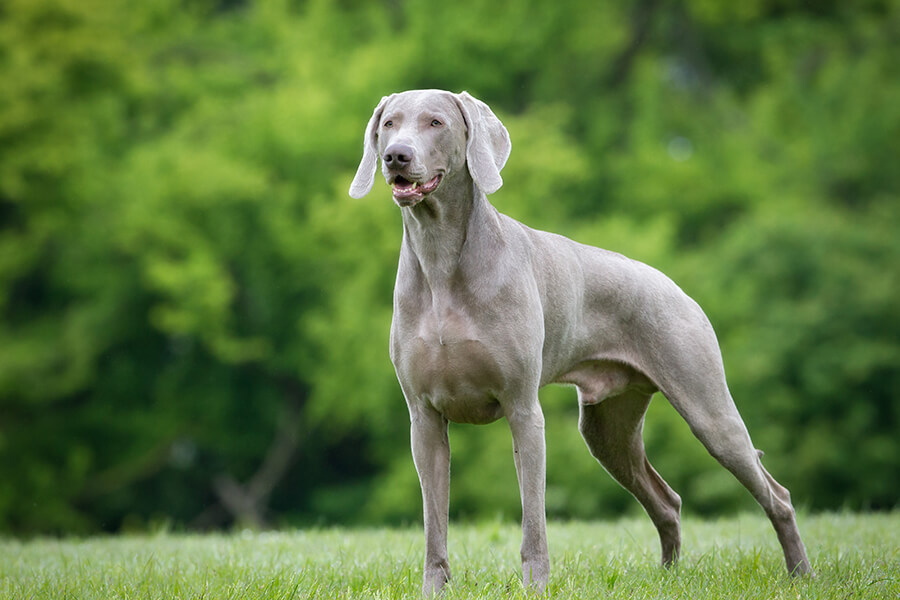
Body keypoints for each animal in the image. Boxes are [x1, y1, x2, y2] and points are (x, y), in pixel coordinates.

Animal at [348, 89, 812, 596]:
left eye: (435, 122)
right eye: (389, 124)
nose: (396, 156)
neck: (440, 259)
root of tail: (675, 286)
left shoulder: (523, 410)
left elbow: (533, 518)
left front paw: (535, 586)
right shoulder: (424, 418)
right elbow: (435, 520)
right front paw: (434, 589)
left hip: (708, 409)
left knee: (777, 494)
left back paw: (801, 573)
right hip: (608, 428)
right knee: (666, 500)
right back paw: (668, 577)